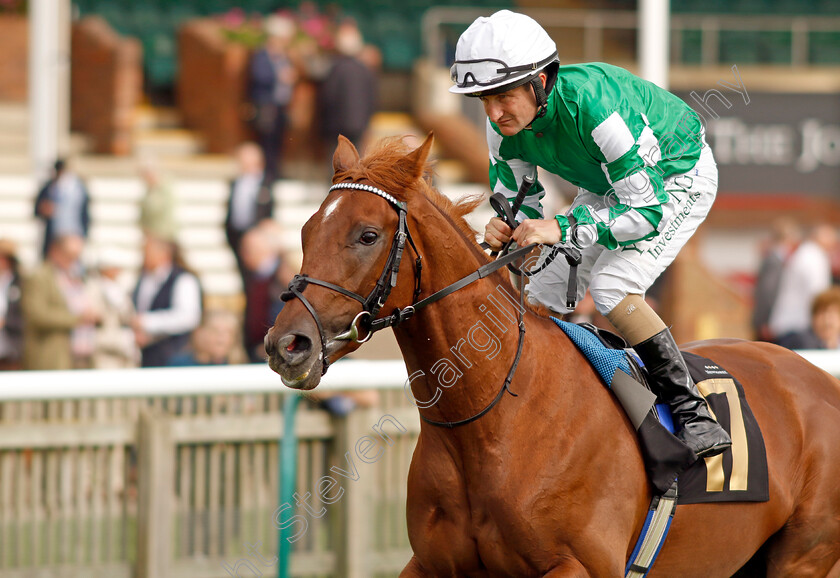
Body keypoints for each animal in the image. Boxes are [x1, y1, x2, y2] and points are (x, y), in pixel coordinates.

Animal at [268, 134, 840, 572]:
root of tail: (819, 380)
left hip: (804, 556)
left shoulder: (580, 565)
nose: (286, 345)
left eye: (367, 235)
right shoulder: (431, 564)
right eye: (306, 229)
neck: (496, 418)